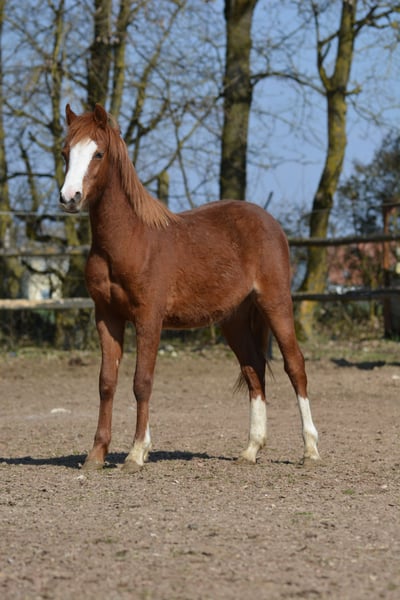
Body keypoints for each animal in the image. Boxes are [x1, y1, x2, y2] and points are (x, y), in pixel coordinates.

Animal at [59, 103, 320, 472]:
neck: (129, 240)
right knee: (253, 370)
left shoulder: (148, 318)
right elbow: (107, 383)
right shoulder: (106, 317)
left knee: (295, 366)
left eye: (98, 153)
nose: (70, 197)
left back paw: (310, 450)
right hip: (234, 320)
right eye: (65, 152)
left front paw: (137, 453)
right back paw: (250, 450)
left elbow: (142, 382)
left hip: (276, 303)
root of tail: (268, 221)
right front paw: (96, 455)